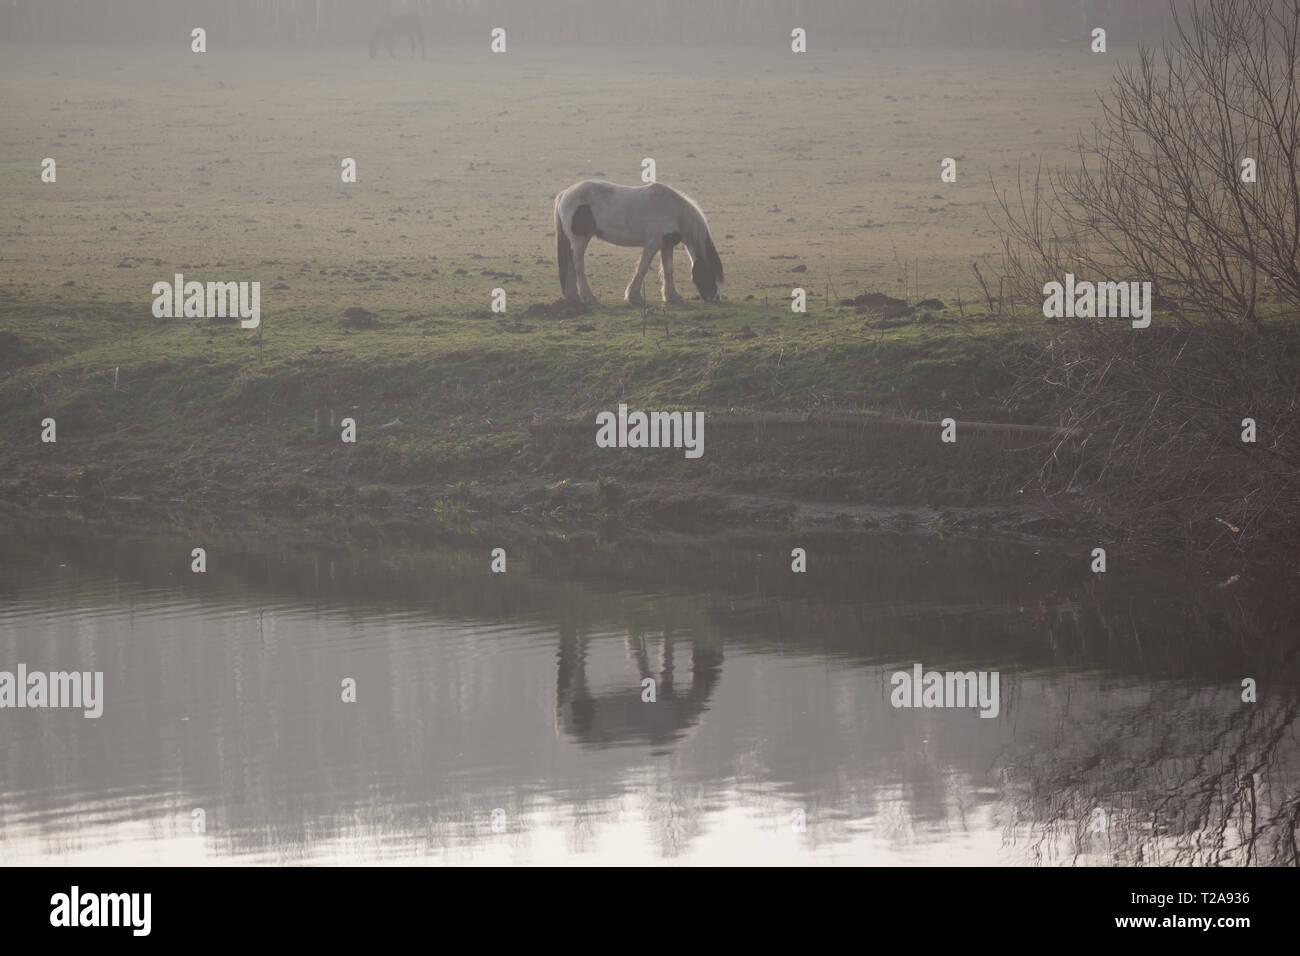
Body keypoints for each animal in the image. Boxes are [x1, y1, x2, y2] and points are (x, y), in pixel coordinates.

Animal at [553, 182, 728, 306]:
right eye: (710, 272)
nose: (716, 298)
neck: (674, 209)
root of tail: (564, 194)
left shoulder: (666, 245)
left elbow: (668, 270)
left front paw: (672, 297)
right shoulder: (653, 243)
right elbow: (643, 267)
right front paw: (634, 297)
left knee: (570, 264)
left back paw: (573, 297)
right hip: (580, 239)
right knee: (578, 266)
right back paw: (588, 297)